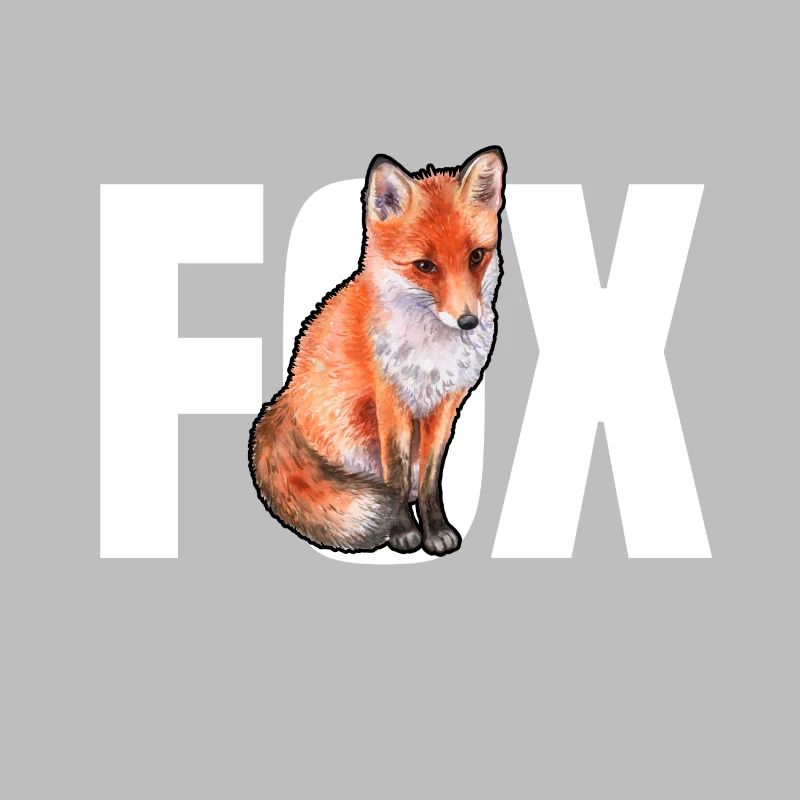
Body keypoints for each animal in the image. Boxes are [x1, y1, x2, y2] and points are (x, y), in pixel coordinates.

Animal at [249, 146, 506, 555]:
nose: (468, 321)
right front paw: (402, 530)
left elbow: (431, 476)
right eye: (425, 266)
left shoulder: (445, 405)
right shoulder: (390, 399)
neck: (430, 355)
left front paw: (435, 529)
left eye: (476, 257)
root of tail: (283, 402)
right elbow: (394, 474)